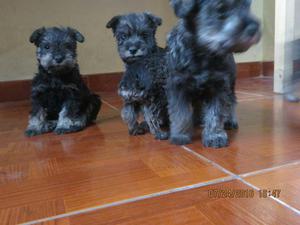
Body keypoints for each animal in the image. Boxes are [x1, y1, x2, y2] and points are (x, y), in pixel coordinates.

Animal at [107, 12, 169, 141]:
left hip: (131, 100)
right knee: (151, 118)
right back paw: (160, 134)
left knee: (128, 114)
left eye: (144, 35)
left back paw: (135, 130)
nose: (133, 49)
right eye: (123, 36)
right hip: (154, 101)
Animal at [168, 0, 262, 149]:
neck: (202, 52)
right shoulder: (178, 86)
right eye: (221, 8)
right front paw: (180, 135)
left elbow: (215, 113)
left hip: (230, 85)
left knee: (231, 102)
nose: (253, 28)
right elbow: (180, 113)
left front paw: (214, 136)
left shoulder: (218, 87)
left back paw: (230, 120)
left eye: (247, 6)